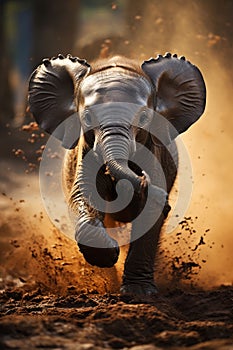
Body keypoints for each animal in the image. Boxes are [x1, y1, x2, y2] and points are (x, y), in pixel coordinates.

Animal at [27, 53, 206, 296]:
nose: (146, 183)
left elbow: (151, 213)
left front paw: (138, 293)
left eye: (143, 118)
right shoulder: (86, 151)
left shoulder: (154, 151)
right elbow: (83, 196)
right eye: (87, 118)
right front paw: (110, 252)